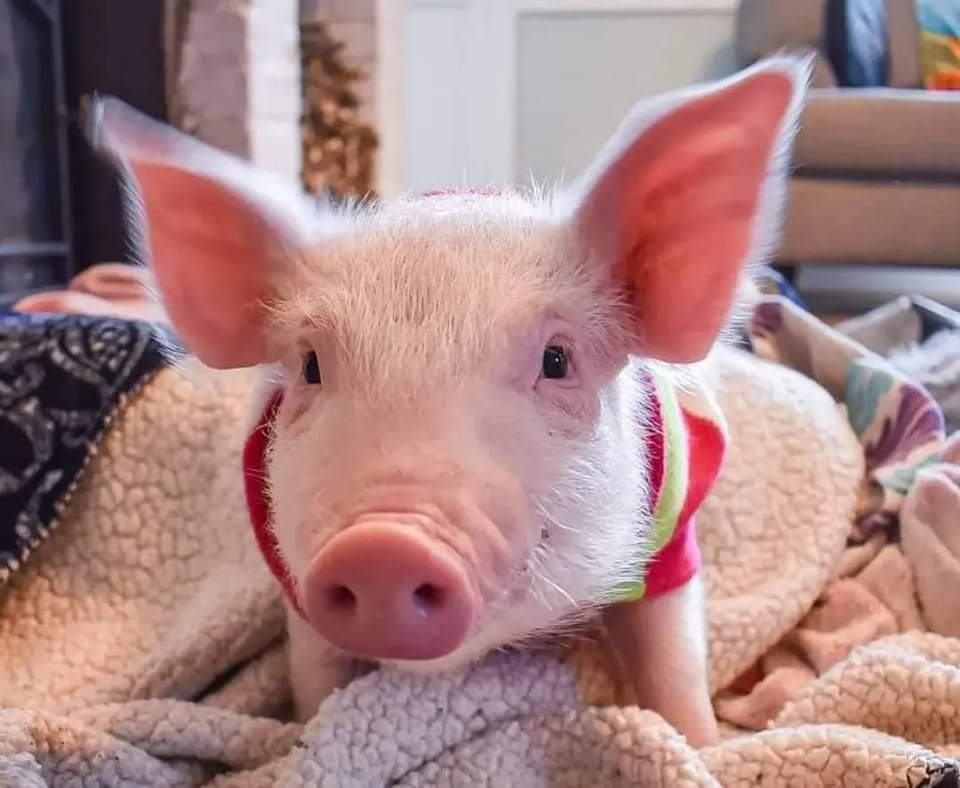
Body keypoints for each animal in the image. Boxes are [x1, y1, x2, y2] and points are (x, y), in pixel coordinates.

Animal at [88, 56, 807, 748]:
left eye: (556, 360)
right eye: (311, 366)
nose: (383, 545)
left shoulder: (671, 523)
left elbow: (671, 658)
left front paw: (707, 750)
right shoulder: (289, 565)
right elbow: (316, 675)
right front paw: (298, 743)